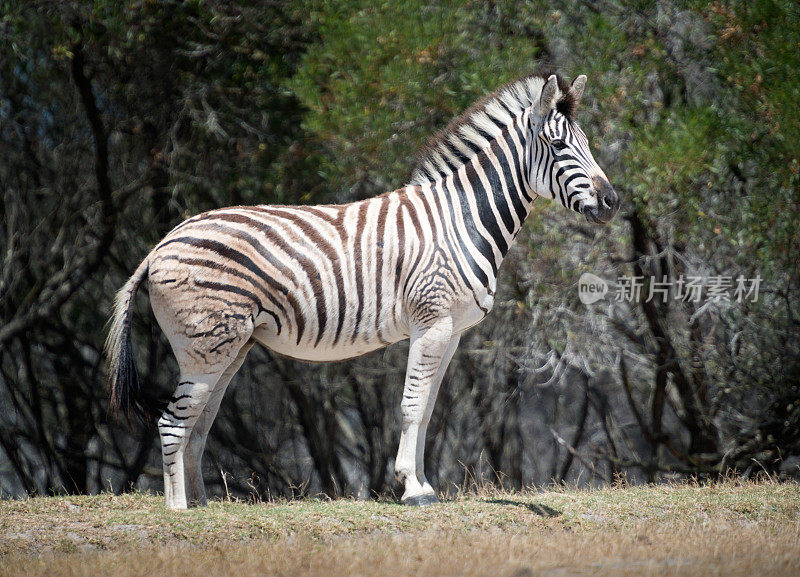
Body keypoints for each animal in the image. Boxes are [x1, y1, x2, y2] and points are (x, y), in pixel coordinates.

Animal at [106, 71, 620, 508]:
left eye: (588, 145)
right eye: (558, 145)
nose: (613, 201)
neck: (460, 219)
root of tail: (161, 244)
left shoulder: (452, 331)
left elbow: (427, 409)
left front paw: (424, 483)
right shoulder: (431, 321)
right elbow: (412, 405)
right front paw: (412, 488)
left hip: (228, 347)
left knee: (197, 423)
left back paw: (202, 506)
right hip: (206, 347)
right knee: (173, 422)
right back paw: (178, 512)